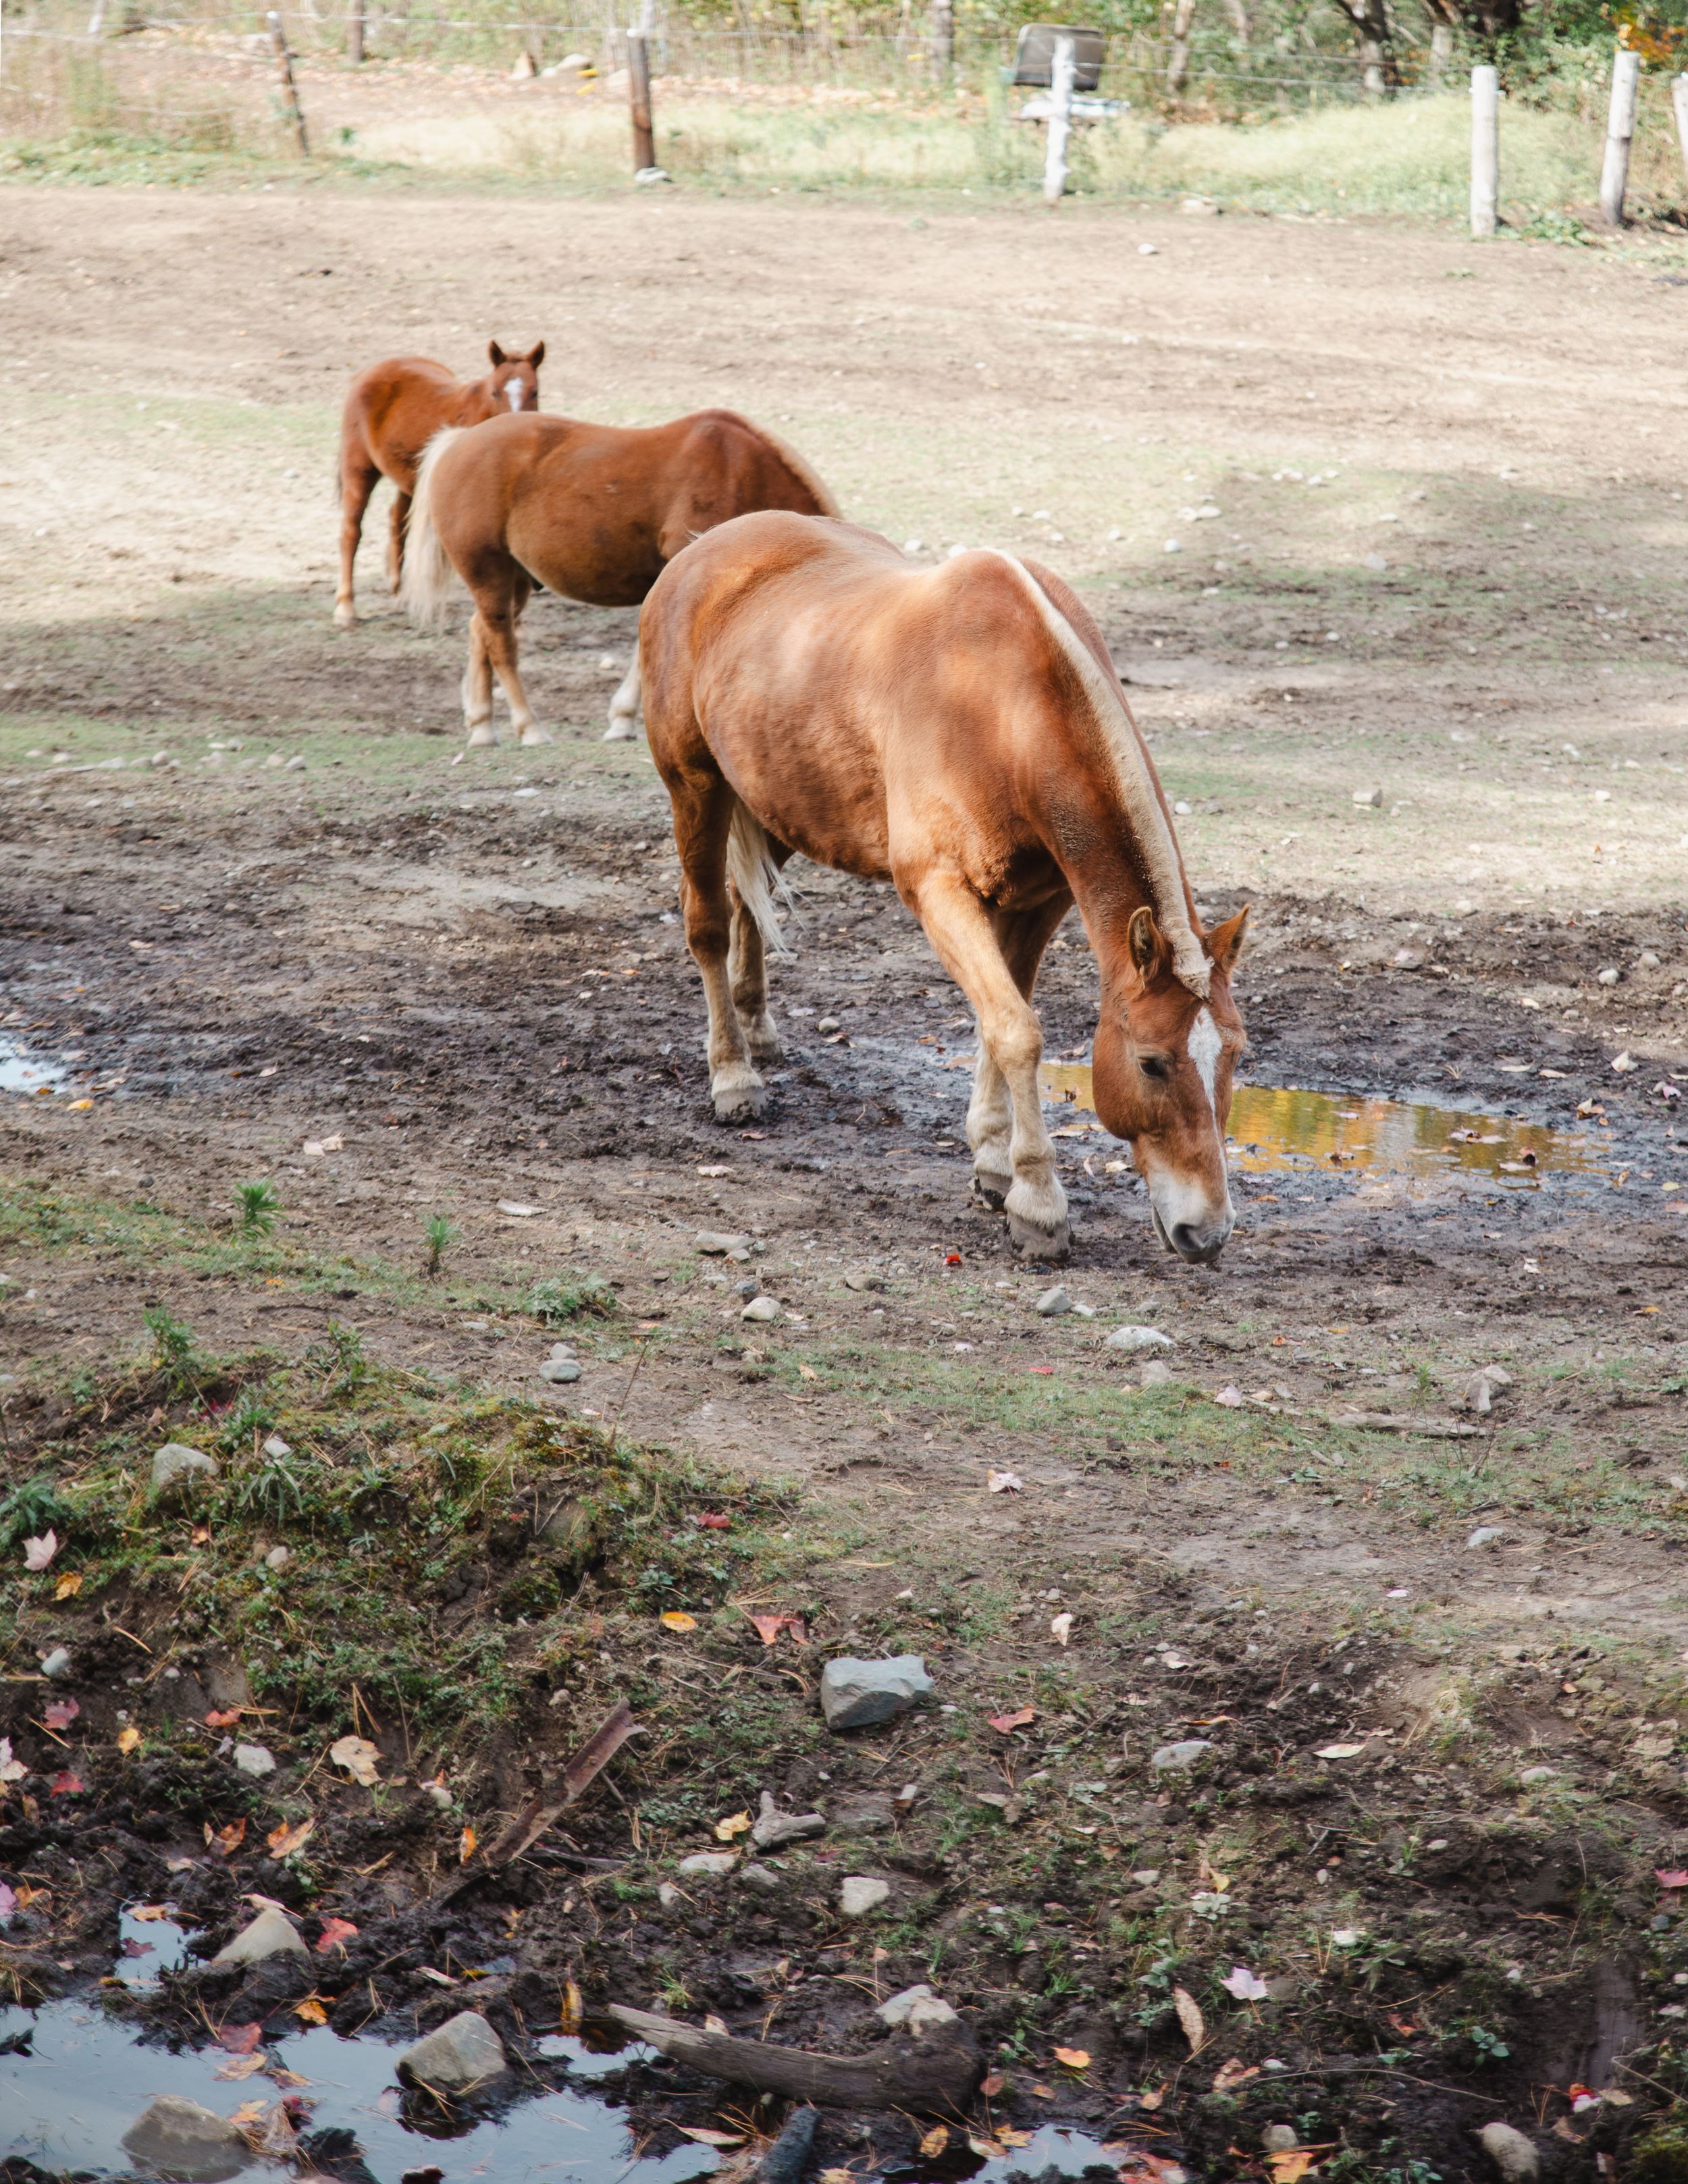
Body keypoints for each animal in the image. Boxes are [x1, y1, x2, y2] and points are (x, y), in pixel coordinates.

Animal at [334, 341, 545, 629]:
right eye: (495, 392)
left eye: (534, 391)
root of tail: (369, 372)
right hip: (359, 470)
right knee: (351, 532)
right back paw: (346, 607)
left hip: (409, 479)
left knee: (397, 521)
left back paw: (400, 592)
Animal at [399, 407, 837, 746]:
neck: (741, 469)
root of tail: (459, 441)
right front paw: (623, 720)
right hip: (487, 571)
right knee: (501, 644)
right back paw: (529, 727)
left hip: (514, 578)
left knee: (481, 633)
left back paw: (482, 727)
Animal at [639, 510, 1250, 1266]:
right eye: (1152, 1063)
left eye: (1235, 1052)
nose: (1208, 1232)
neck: (1006, 706)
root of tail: (703, 550)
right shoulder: (940, 892)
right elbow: (1016, 1030)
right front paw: (1038, 1204)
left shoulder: (1039, 900)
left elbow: (1000, 1022)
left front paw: (992, 1166)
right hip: (695, 786)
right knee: (708, 922)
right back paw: (733, 1076)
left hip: (776, 798)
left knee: (750, 902)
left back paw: (759, 1031)